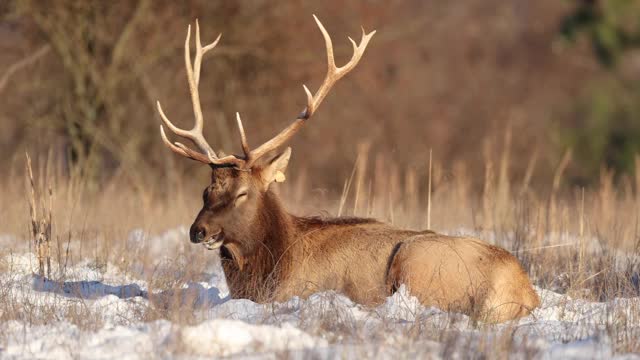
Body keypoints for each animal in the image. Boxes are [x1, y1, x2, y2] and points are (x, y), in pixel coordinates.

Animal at [156, 16, 540, 324]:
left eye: (241, 193)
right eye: (206, 190)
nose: (198, 231)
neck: (274, 265)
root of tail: (525, 291)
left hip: (415, 261)